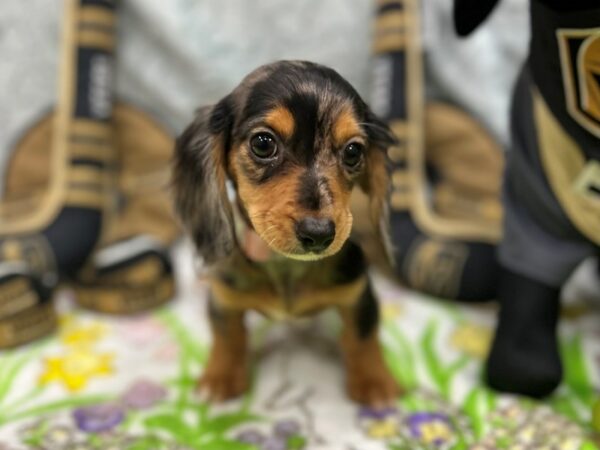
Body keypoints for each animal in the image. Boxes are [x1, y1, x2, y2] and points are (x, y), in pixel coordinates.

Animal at [171, 58, 400, 406]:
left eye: (353, 152)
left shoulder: (357, 291)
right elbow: (227, 334)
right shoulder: (226, 295)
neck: (286, 266)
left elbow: (363, 335)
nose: (318, 234)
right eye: (263, 143)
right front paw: (220, 377)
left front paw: (374, 381)